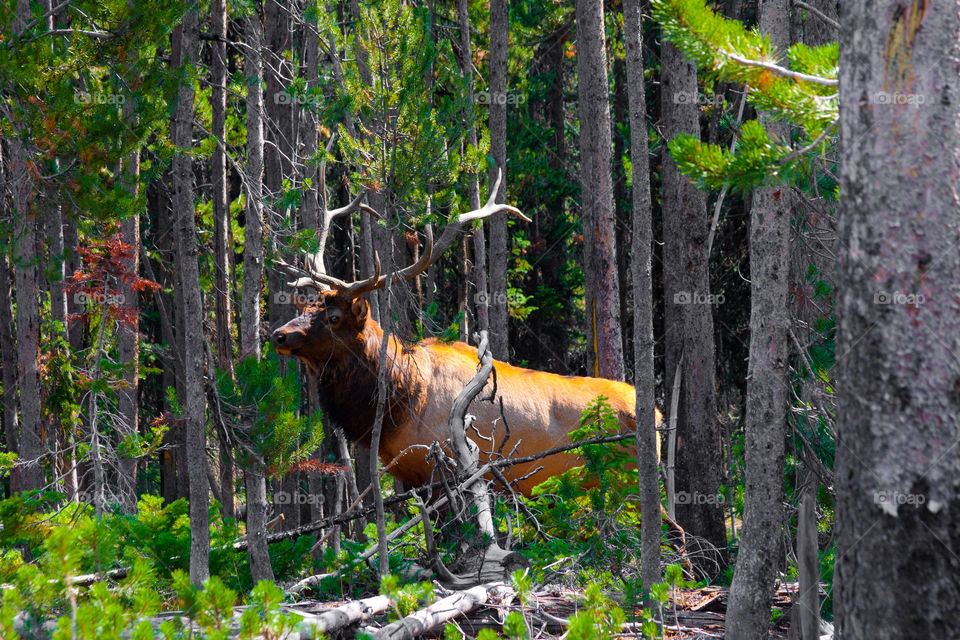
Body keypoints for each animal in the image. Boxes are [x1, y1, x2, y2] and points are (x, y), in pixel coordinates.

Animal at [271, 168, 661, 499]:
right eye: (306, 308)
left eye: (334, 317)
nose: (278, 335)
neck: (402, 399)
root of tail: (656, 416)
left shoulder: (443, 472)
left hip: (629, 483)